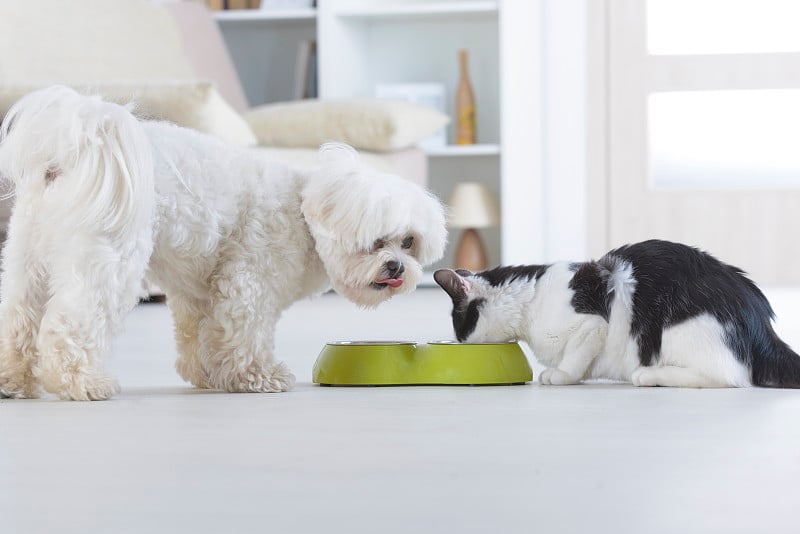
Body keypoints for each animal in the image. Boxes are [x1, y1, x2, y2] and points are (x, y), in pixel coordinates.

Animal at [0, 85, 446, 402]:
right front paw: (257, 377)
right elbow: (244, 334)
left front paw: (208, 375)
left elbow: (199, 334)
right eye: (376, 241)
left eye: (409, 242)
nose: (397, 267)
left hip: (27, 260)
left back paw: (11, 382)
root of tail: (67, 159)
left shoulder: (198, 291)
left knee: (18, 321)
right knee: (69, 325)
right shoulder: (248, 282)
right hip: (108, 258)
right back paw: (84, 382)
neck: (304, 213)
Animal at [434, 240, 800, 390]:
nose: (459, 342)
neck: (529, 297)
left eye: (460, 327)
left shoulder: (593, 323)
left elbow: (574, 356)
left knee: (729, 376)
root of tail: (759, 320)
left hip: (681, 329)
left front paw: (561, 375)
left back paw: (650, 375)